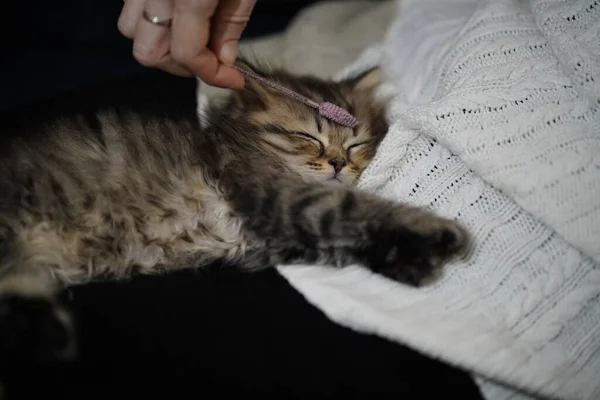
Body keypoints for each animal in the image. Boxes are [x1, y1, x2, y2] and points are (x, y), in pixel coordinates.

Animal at [0, 59, 468, 362]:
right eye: (309, 138)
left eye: (356, 145)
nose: (338, 163)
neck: (245, 143)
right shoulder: (278, 198)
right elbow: (359, 207)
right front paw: (442, 232)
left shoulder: (276, 236)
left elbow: (351, 233)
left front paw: (410, 262)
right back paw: (51, 335)